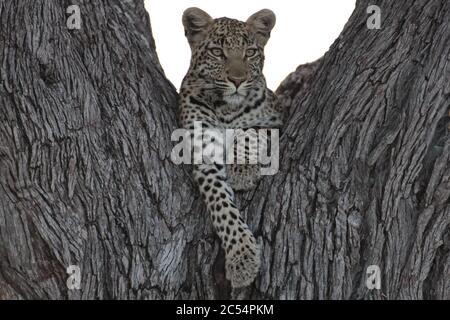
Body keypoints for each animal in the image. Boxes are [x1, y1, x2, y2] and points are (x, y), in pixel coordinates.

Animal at [178, 6, 282, 288]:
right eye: (217, 52)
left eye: (250, 52)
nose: (238, 80)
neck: (226, 108)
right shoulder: (203, 150)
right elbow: (223, 207)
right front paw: (242, 258)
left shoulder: (274, 120)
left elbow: (249, 132)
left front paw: (241, 172)